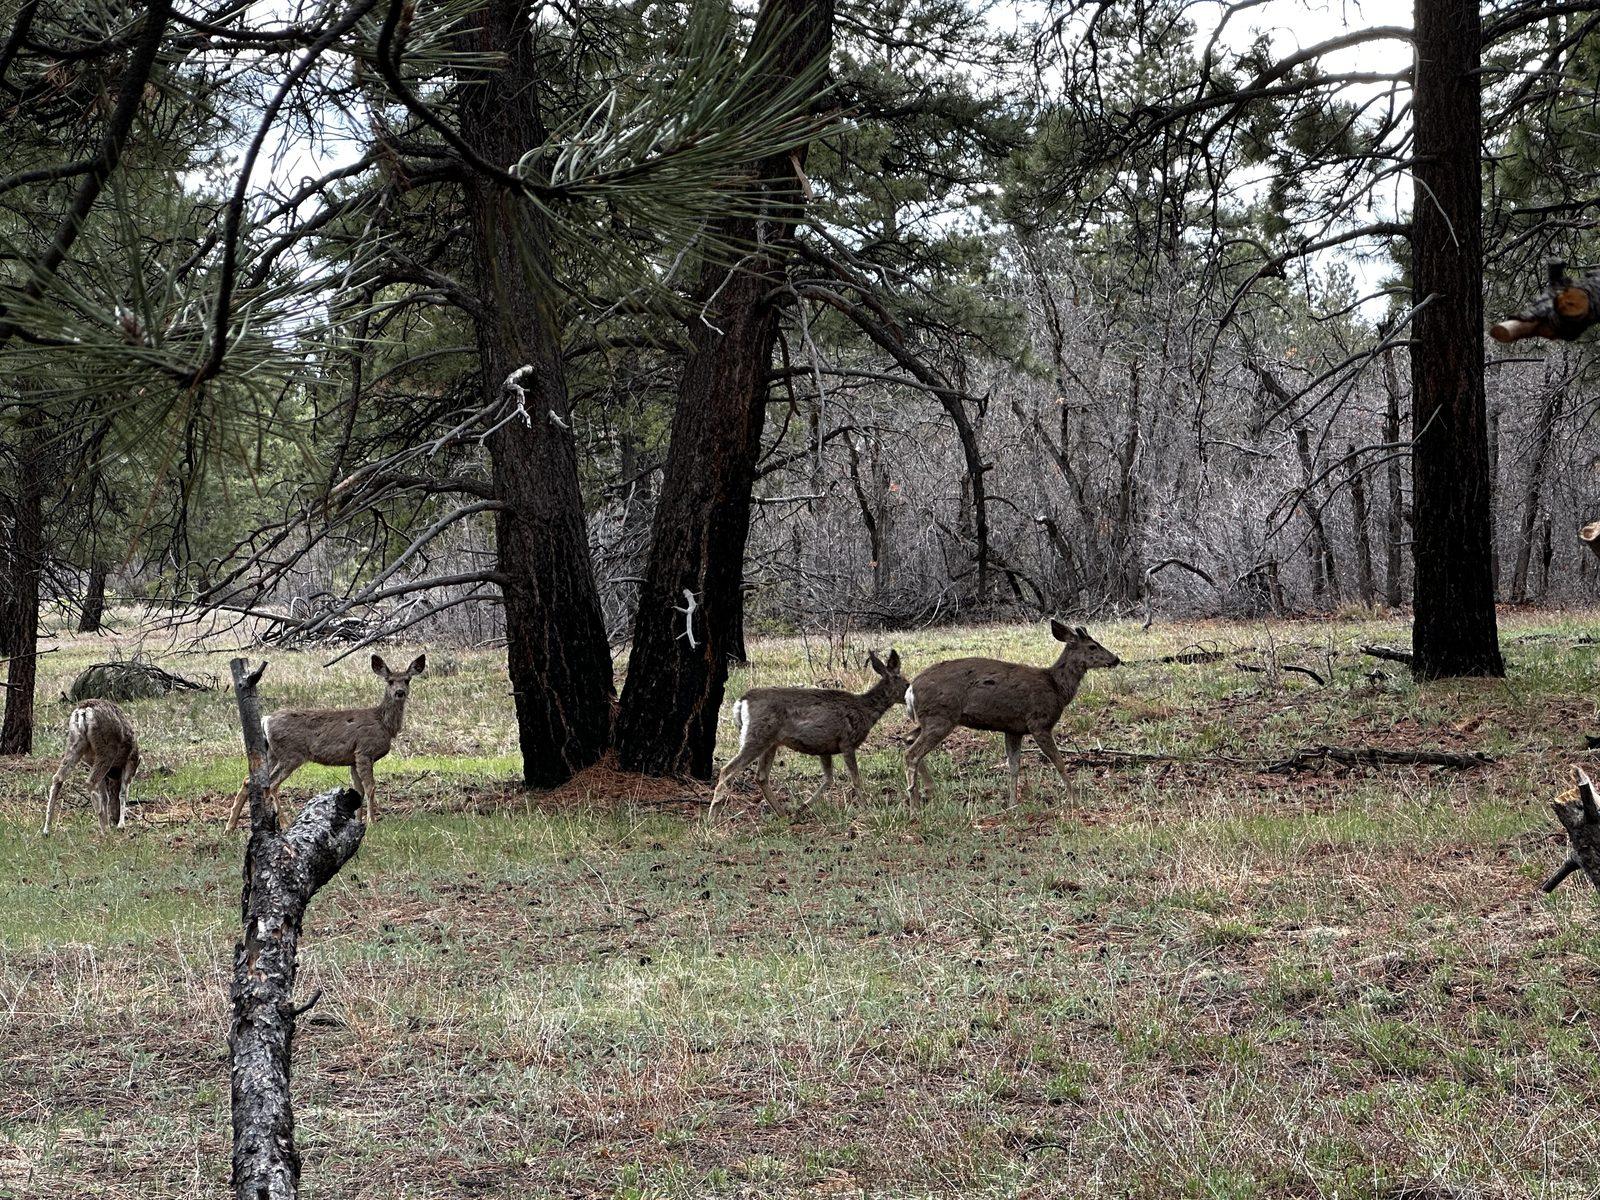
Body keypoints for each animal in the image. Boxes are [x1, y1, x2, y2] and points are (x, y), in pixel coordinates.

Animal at [44, 699, 142, 834]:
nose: (115, 819)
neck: (115, 773)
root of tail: (83, 711)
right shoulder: (131, 762)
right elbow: (123, 793)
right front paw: (121, 825)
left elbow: (105, 797)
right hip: (106, 749)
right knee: (91, 781)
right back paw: (104, 829)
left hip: (75, 743)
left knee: (57, 777)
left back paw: (46, 829)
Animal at [226, 653, 426, 831]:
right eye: (390, 681)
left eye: (407, 680)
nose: (399, 692)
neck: (384, 724)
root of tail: (265, 720)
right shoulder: (364, 751)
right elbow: (370, 787)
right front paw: (372, 822)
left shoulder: (353, 758)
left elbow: (359, 790)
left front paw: (358, 822)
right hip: (290, 754)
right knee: (272, 784)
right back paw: (284, 823)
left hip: (271, 752)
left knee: (249, 780)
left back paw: (230, 828)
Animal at [710, 649, 908, 819]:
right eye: (907, 684)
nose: (911, 696)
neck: (865, 711)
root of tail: (742, 701)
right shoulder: (847, 741)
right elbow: (855, 779)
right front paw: (865, 807)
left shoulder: (825, 746)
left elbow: (828, 779)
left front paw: (802, 807)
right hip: (757, 736)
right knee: (728, 770)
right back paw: (713, 814)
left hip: (770, 741)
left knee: (761, 776)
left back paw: (783, 814)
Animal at [903, 620, 1121, 806]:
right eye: (1092, 646)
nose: (1116, 659)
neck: (1056, 687)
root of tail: (910, 690)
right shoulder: (1039, 723)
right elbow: (1059, 762)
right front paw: (1075, 801)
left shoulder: (1013, 729)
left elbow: (1014, 766)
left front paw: (1012, 804)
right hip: (941, 716)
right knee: (911, 753)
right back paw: (914, 804)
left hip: (931, 718)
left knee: (908, 739)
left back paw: (927, 792)